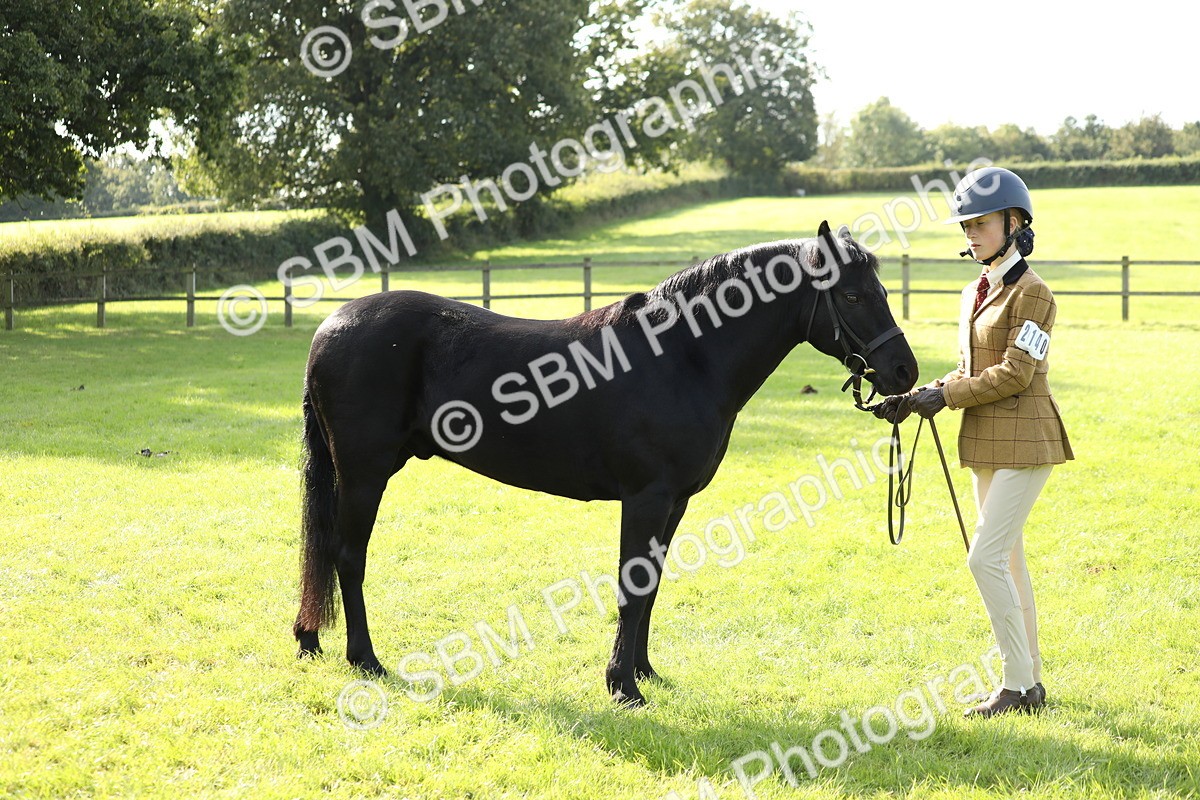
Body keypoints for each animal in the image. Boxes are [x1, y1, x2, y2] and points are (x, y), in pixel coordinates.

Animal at [293, 221, 918, 706]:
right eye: (854, 296)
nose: (904, 372)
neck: (683, 356)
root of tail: (330, 328)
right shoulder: (646, 498)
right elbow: (631, 585)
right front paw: (623, 686)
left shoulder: (675, 502)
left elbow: (652, 584)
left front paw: (642, 671)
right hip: (364, 475)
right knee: (348, 556)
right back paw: (365, 658)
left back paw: (312, 638)